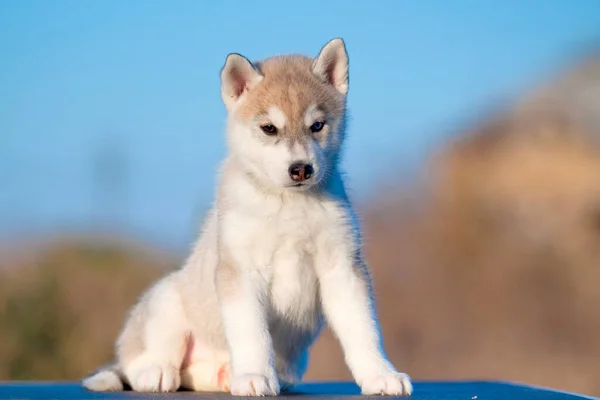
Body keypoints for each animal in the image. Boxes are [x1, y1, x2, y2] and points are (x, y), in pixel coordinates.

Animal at [82, 38, 412, 396]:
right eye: (269, 128)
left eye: (317, 126)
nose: (300, 169)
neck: (288, 204)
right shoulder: (240, 271)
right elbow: (252, 333)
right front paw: (255, 374)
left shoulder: (342, 266)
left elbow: (363, 330)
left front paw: (380, 374)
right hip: (166, 299)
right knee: (142, 359)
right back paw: (156, 371)